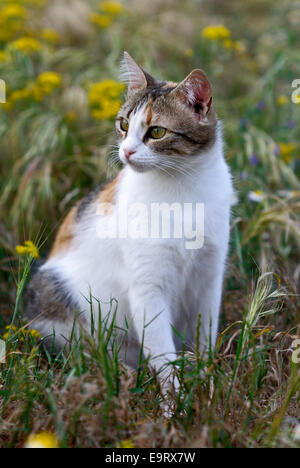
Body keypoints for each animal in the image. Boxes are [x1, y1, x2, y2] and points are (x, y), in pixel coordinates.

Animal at [25, 52, 233, 392]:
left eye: (157, 132)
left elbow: (204, 337)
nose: (126, 151)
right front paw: (174, 401)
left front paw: (205, 381)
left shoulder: (208, 277)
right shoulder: (147, 288)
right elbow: (163, 356)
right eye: (124, 125)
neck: (182, 190)